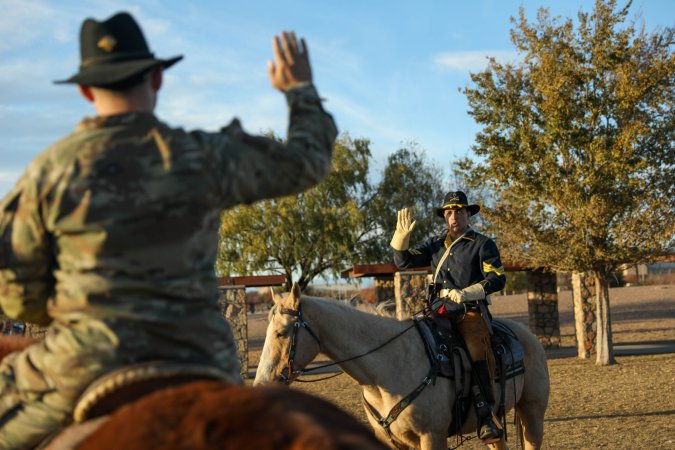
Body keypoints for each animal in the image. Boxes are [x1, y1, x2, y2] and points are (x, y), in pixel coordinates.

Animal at [254, 284, 548, 450]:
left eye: (281, 332)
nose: (260, 385)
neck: (386, 371)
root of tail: (527, 334)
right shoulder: (391, 441)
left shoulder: (432, 437)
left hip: (532, 413)